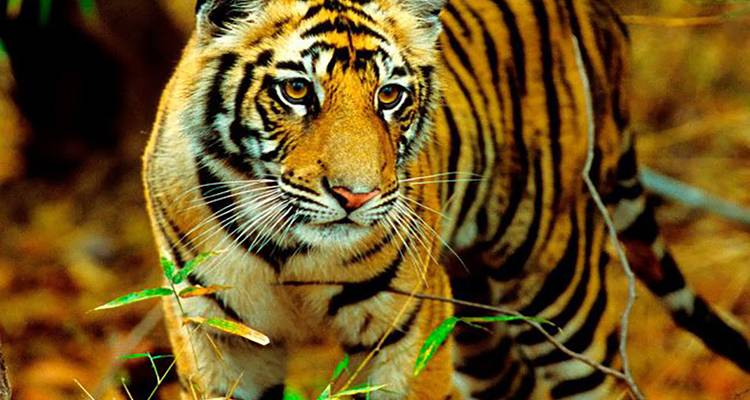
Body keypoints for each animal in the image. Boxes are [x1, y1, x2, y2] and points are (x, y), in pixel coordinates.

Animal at [142, 0, 750, 398]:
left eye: (390, 96)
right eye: (296, 91)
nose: (356, 196)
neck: (288, 248)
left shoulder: (403, 332)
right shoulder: (215, 340)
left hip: (557, 285)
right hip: (478, 316)